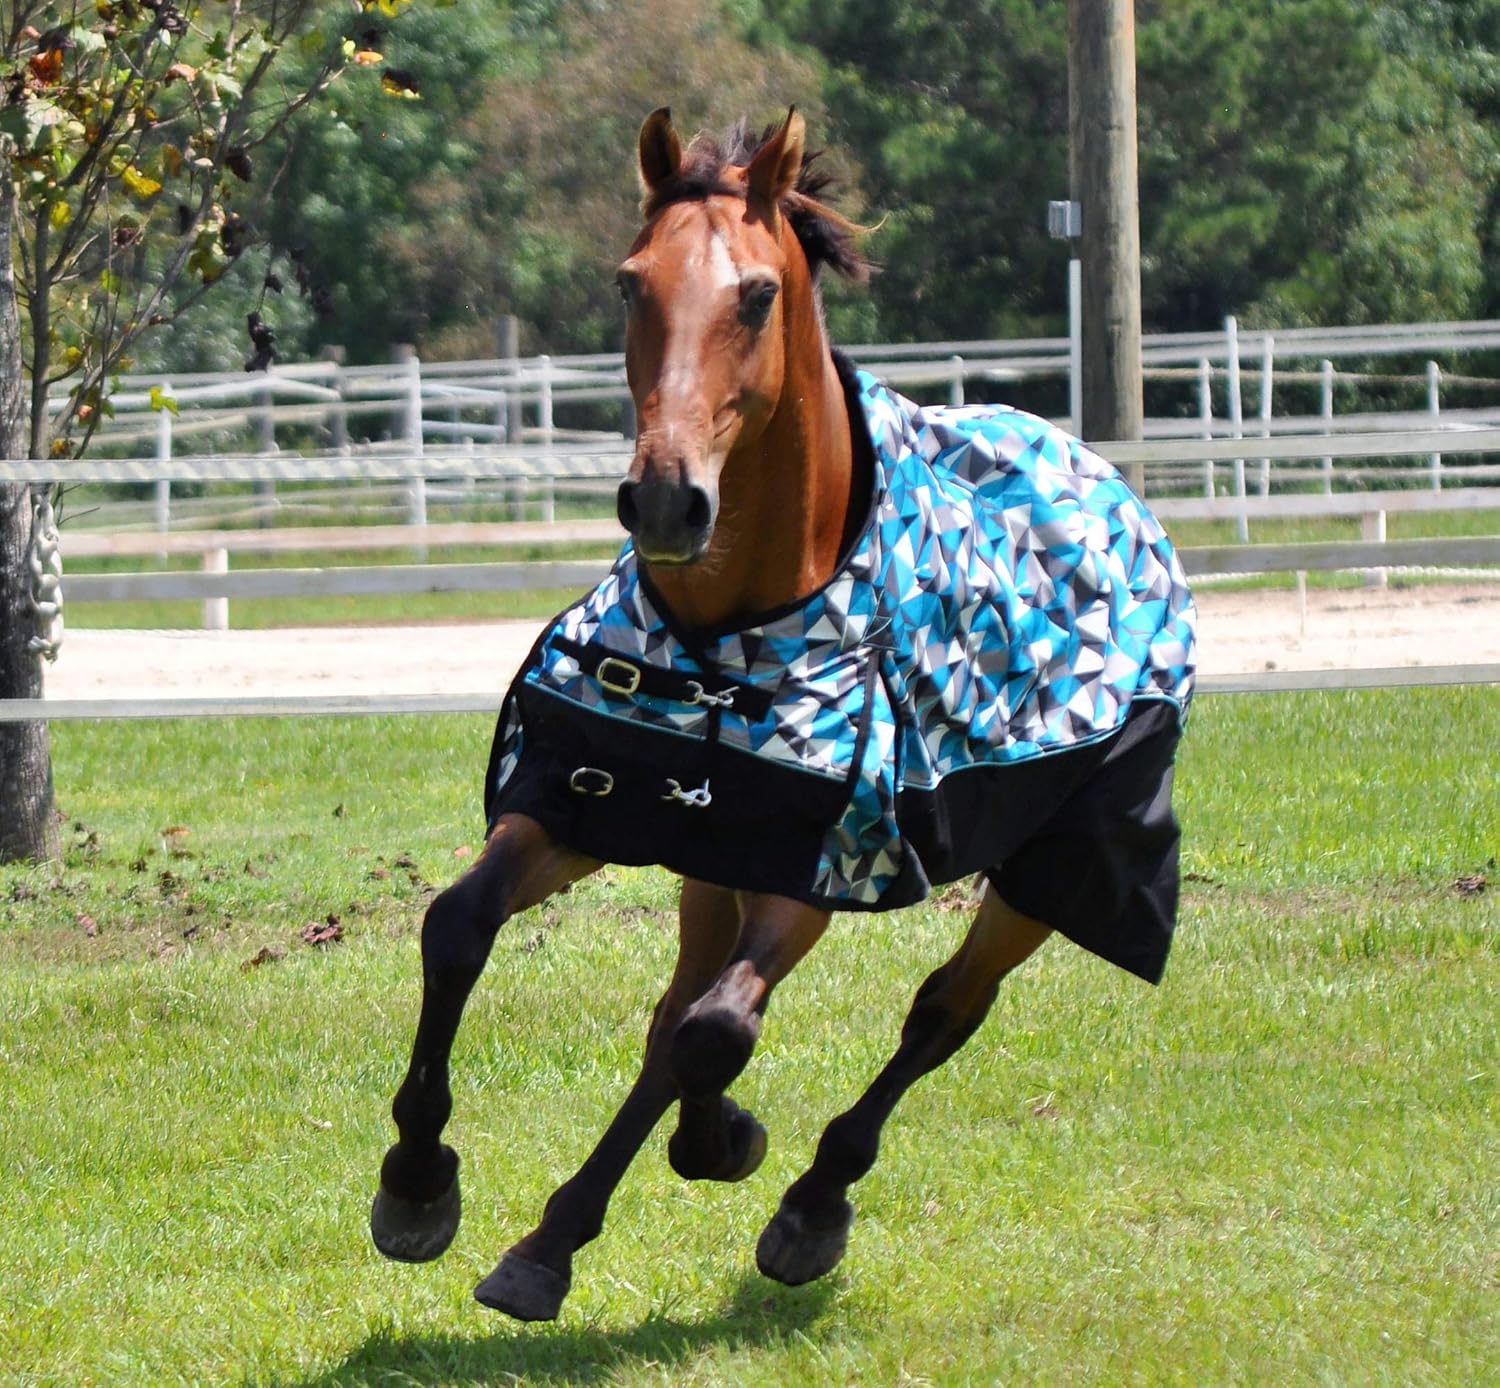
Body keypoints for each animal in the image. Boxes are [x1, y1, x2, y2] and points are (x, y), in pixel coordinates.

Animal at [370, 107, 1197, 1323]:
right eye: (629, 283)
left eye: (758, 293)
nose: (667, 499)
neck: (737, 631)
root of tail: (1104, 477)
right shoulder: (592, 806)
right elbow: (461, 928)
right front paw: (419, 1181)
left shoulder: (816, 868)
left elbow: (719, 1030)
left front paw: (724, 1145)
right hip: (713, 867)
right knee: (677, 1014)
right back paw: (566, 1229)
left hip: (1050, 872)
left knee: (940, 1010)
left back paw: (807, 1202)